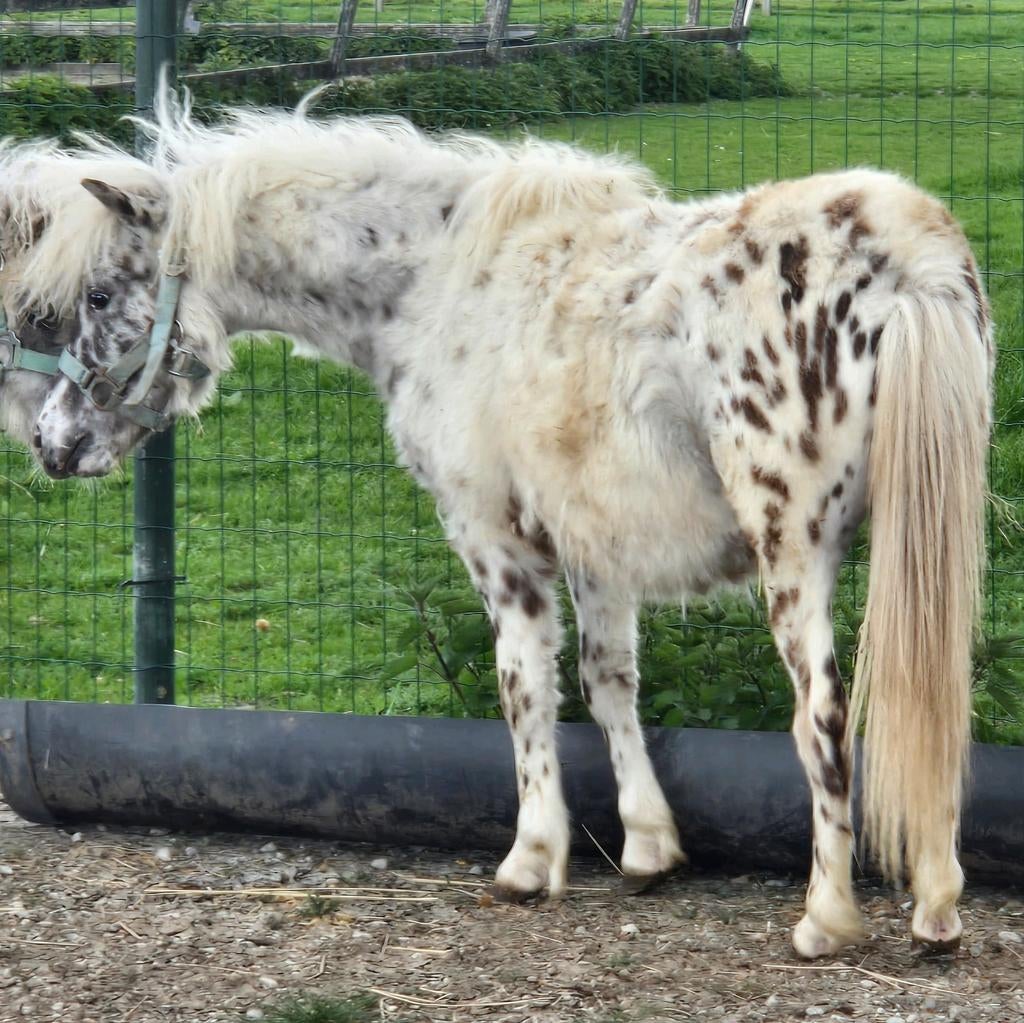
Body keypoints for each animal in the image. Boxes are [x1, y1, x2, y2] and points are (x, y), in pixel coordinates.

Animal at [27, 91, 993, 957]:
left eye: (101, 294)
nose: (50, 442)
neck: (435, 283)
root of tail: (904, 253)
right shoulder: (596, 545)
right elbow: (609, 682)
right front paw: (649, 846)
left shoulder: (491, 535)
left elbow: (523, 686)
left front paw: (532, 860)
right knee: (935, 698)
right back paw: (937, 907)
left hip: (795, 553)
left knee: (824, 715)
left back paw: (826, 917)